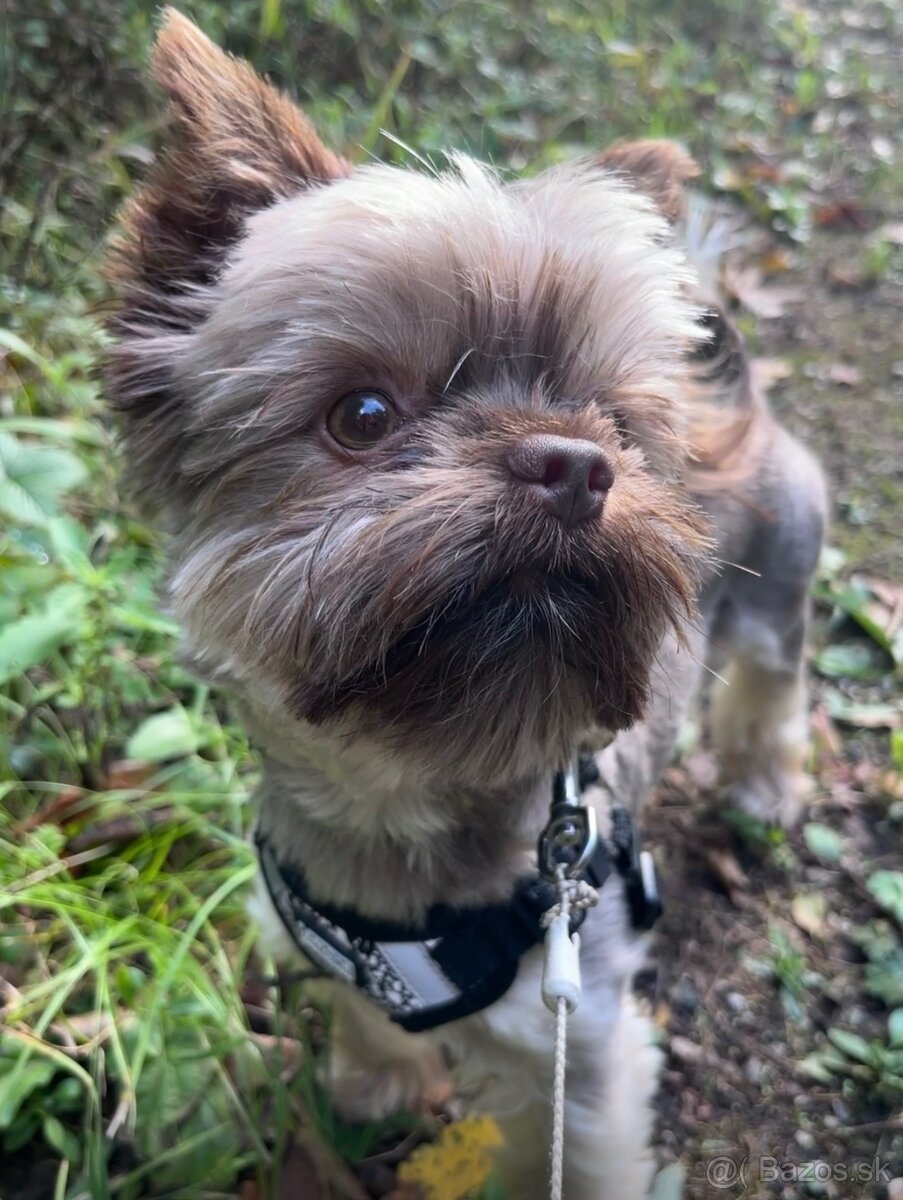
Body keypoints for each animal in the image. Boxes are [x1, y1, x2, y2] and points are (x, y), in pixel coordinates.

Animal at [103, 11, 826, 1200]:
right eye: (361, 414)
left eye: (614, 423)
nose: (578, 464)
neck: (402, 801)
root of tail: (741, 403)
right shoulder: (325, 944)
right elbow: (364, 1019)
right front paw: (376, 1086)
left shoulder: (580, 1047)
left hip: (782, 596)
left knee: (774, 691)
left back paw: (763, 787)